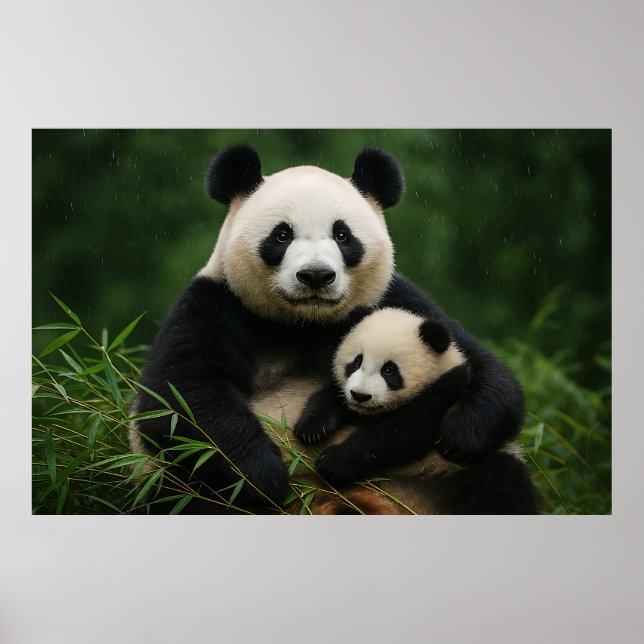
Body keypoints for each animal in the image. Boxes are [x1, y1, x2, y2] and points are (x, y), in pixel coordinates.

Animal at [293, 307, 472, 487]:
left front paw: (334, 462)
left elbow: (397, 433)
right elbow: (329, 395)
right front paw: (311, 427)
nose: (360, 396)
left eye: (389, 370)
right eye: (357, 362)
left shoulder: (442, 392)